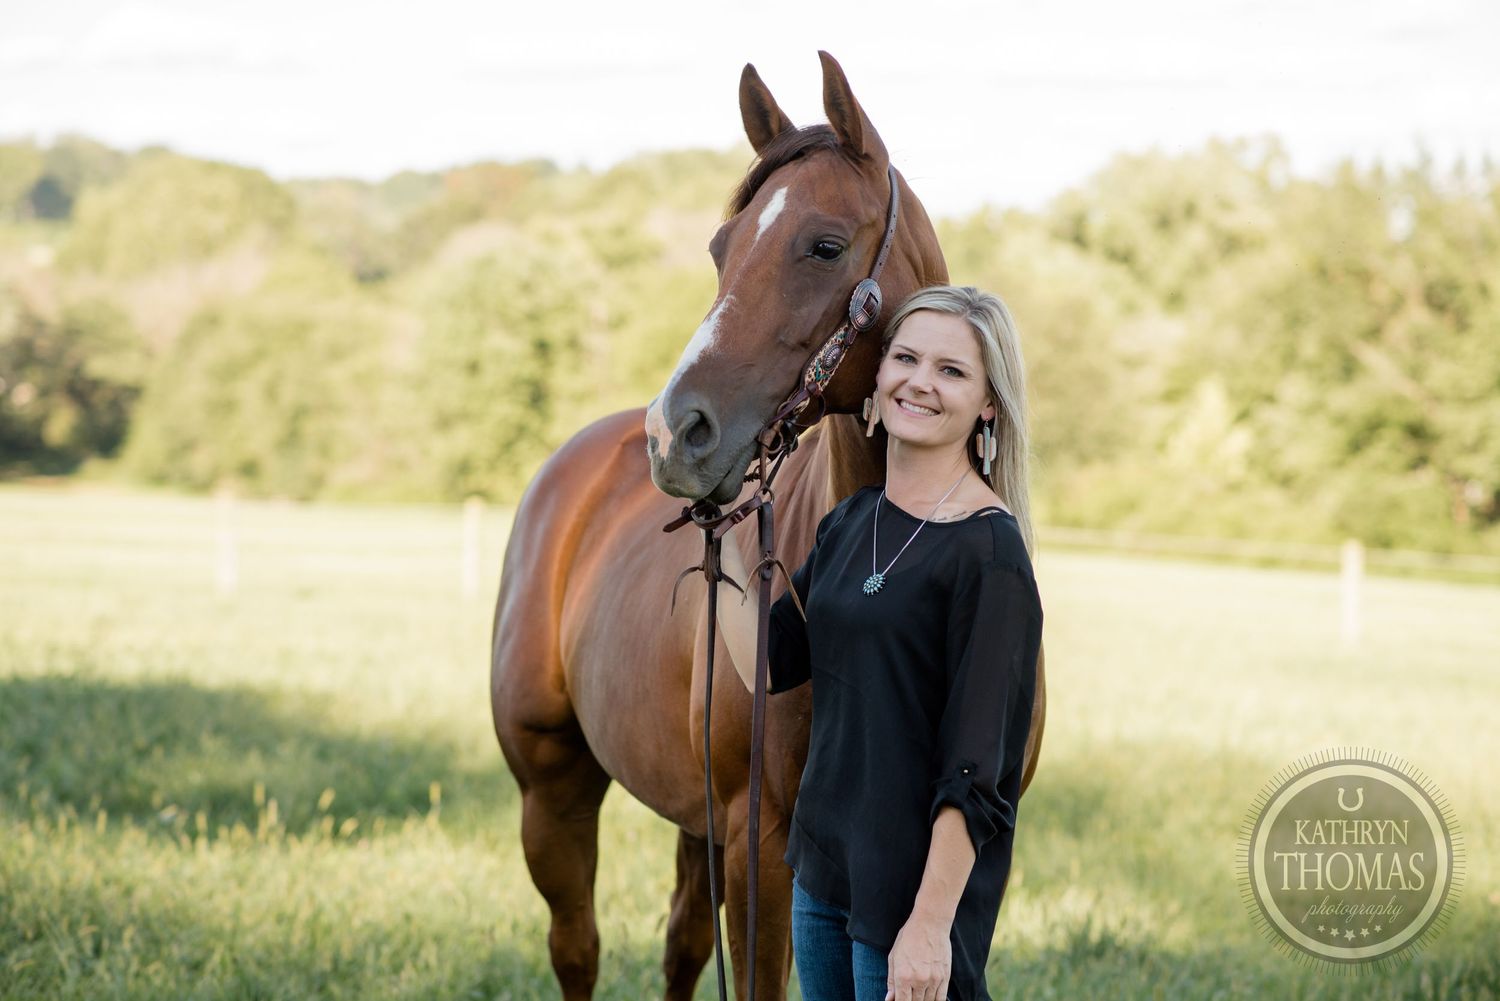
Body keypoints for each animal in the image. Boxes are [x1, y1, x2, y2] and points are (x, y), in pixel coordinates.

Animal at [492, 51, 1047, 1000]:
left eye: (823, 245)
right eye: (723, 247)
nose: (675, 431)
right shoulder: (762, 850)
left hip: (692, 821)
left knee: (680, 941)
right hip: (553, 791)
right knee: (578, 947)